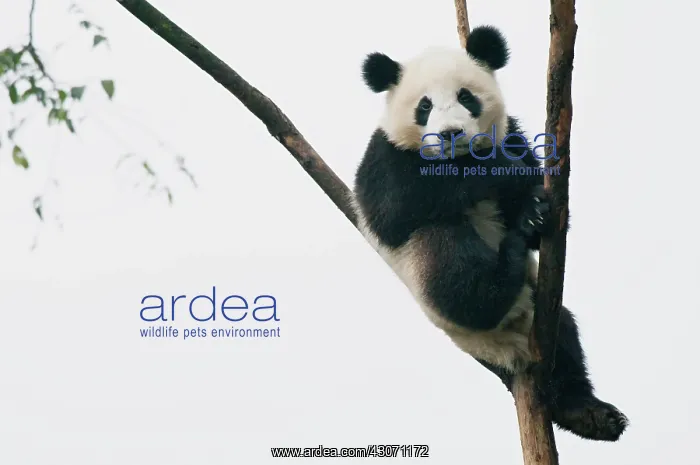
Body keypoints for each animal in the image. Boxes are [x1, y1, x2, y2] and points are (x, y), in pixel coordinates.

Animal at [352, 25, 628, 442]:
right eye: (424, 106)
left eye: (466, 97)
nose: (450, 134)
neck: (458, 157)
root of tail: (506, 345)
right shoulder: (386, 157)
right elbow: (394, 208)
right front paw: (499, 171)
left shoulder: (512, 131)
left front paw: (533, 214)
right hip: (433, 286)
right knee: (451, 266)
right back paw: (499, 274)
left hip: (539, 315)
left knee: (565, 344)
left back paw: (590, 415)